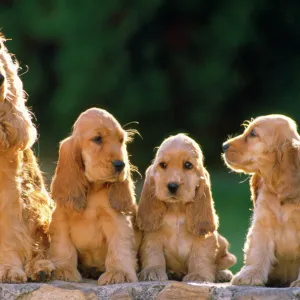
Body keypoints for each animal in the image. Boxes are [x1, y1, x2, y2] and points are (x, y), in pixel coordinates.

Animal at [48, 108, 139, 286]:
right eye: (97, 139)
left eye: (121, 140)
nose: (121, 165)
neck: (94, 188)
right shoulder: (61, 217)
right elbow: (63, 245)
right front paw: (63, 270)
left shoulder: (117, 219)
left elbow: (120, 246)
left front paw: (119, 273)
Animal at [137, 135, 237, 282]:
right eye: (162, 165)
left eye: (188, 165)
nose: (172, 186)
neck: (176, 210)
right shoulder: (152, 234)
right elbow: (153, 252)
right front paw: (152, 271)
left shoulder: (204, 237)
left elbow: (201, 255)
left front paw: (199, 275)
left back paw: (222, 274)